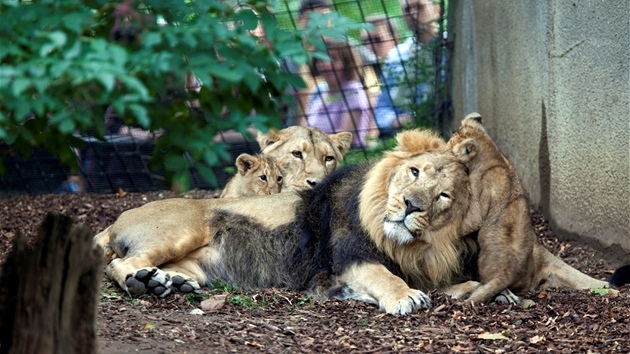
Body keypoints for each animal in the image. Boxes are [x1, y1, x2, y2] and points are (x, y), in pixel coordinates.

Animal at [96, 130, 476, 316]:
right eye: (413, 172)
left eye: (443, 195)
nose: (412, 205)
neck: (405, 244)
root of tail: (115, 221)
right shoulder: (350, 260)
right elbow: (386, 277)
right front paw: (405, 296)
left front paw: (479, 291)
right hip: (181, 231)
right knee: (120, 264)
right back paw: (142, 282)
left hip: (195, 265)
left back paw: (165, 282)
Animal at [444, 114, 612, 304]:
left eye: (449, 146)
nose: (442, 151)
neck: (495, 156)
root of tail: (507, 274)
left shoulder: (478, 204)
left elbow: (467, 222)